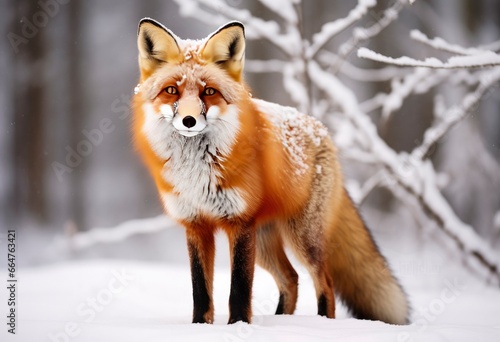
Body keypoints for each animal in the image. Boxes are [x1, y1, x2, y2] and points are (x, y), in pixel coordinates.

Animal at [131, 17, 408, 324]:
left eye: (209, 91)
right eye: (171, 91)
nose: (189, 120)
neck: (196, 173)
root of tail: (321, 130)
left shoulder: (240, 222)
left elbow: (239, 290)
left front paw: (238, 325)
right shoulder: (195, 224)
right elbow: (200, 291)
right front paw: (200, 327)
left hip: (301, 238)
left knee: (324, 282)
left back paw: (322, 322)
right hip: (264, 242)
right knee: (291, 279)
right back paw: (281, 320)